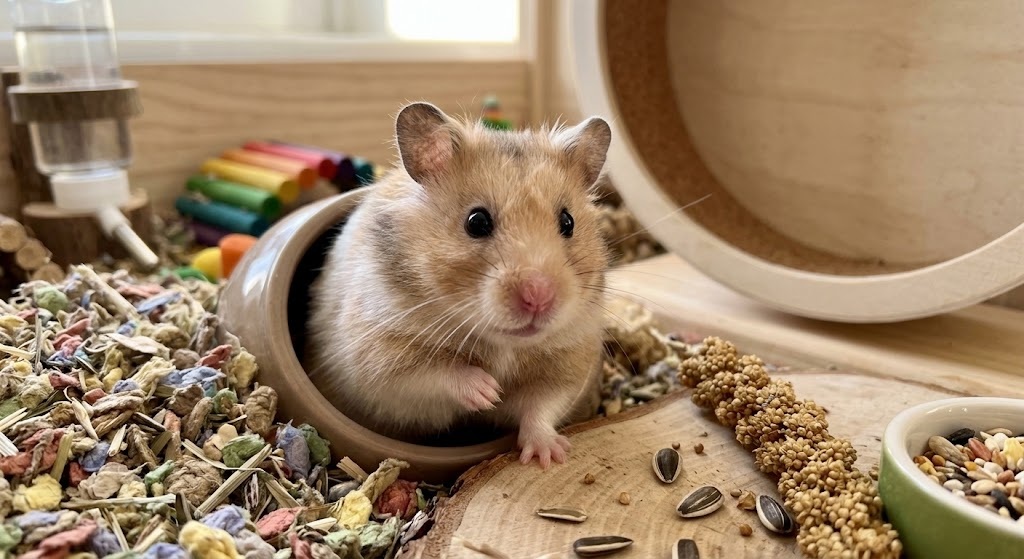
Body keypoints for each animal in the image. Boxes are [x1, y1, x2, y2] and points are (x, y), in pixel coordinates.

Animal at [306, 102, 611, 468]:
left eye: (568, 222)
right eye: (476, 222)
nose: (539, 297)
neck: (503, 345)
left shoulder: (567, 363)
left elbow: (541, 407)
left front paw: (550, 456)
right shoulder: (377, 355)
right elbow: (436, 373)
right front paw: (488, 392)